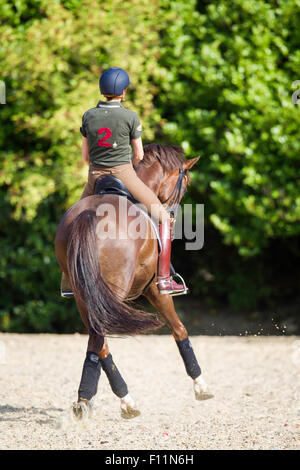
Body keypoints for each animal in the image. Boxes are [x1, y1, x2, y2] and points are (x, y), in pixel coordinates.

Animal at [54, 143, 213, 418]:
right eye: (184, 185)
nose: (172, 217)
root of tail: (89, 214)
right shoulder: (155, 290)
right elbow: (179, 329)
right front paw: (200, 385)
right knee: (99, 339)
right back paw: (117, 400)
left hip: (84, 298)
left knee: (99, 343)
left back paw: (92, 400)